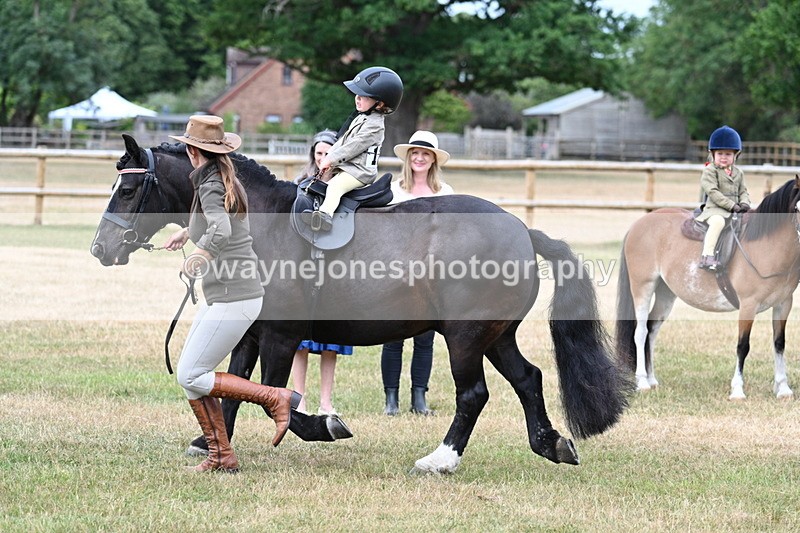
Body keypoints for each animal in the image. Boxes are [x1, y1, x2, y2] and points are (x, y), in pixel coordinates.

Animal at [91, 134, 631, 474]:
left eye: (130, 188)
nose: (100, 249)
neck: (258, 223)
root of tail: (522, 230)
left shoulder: (281, 336)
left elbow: (275, 396)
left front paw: (324, 425)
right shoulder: (247, 330)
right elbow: (232, 389)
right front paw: (211, 444)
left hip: (464, 337)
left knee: (474, 395)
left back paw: (440, 460)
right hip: (495, 336)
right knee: (528, 379)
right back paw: (551, 444)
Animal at [615, 177, 800, 400]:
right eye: (797, 208)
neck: (766, 246)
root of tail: (638, 224)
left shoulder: (784, 303)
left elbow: (779, 343)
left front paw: (783, 388)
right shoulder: (748, 304)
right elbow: (743, 346)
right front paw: (737, 390)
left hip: (665, 292)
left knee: (652, 329)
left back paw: (651, 380)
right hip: (643, 286)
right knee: (641, 331)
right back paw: (642, 381)